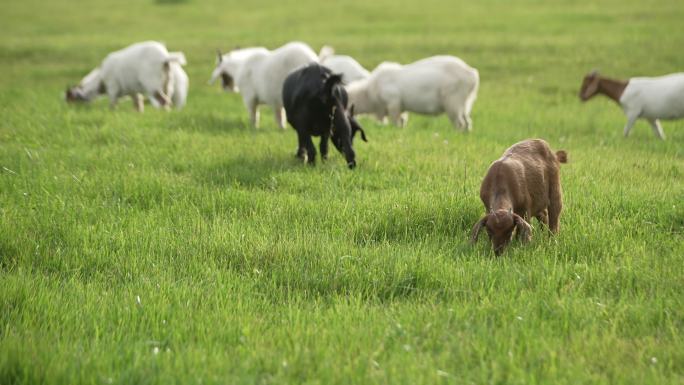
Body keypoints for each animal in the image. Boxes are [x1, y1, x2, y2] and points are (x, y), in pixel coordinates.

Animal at [344, 55, 478, 130]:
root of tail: (472, 74)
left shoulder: (393, 103)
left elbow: (396, 122)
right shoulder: (400, 108)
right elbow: (402, 121)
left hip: (453, 101)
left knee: (460, 123)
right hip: (465, 103)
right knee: (467, 122)